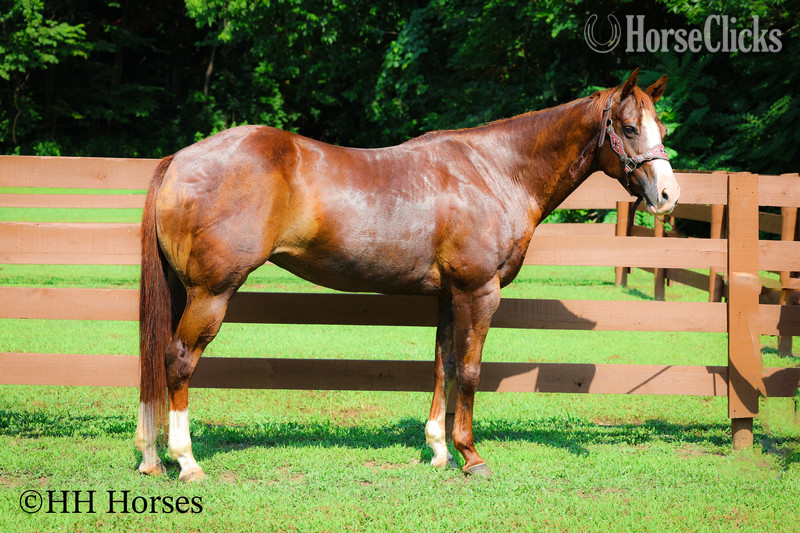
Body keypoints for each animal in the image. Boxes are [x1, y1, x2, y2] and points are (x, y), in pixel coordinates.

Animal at [135, 68, 679, 481]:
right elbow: (470, 371)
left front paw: (439, 450)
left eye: (662, 130)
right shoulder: (479, 292)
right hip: (211, 292)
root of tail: (179, 159)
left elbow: (443, 366)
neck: (494, 172)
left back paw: (151, 458)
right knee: (178, 361)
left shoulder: (449, 296)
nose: (668, 196)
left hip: (185, 291)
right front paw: (471, 456)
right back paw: (186, 462)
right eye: (629, 128)